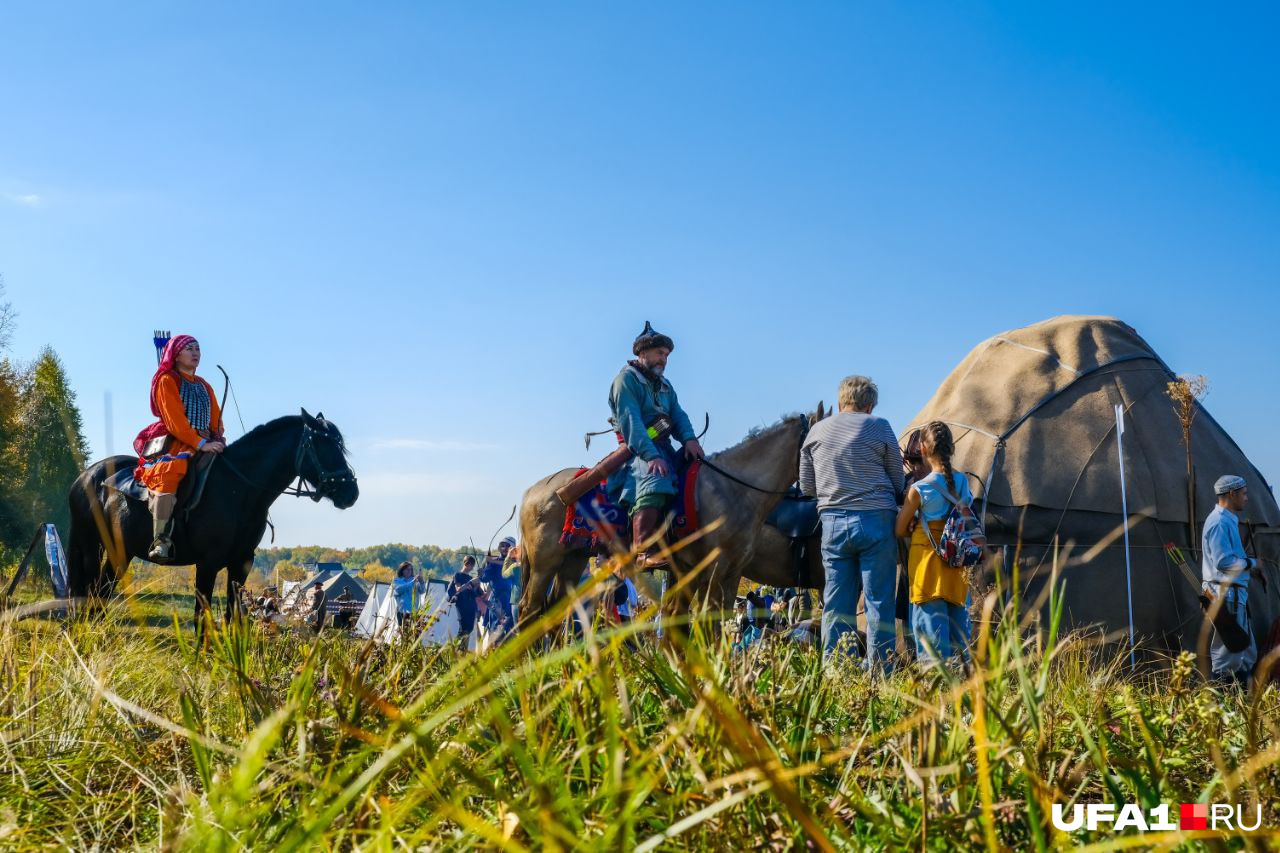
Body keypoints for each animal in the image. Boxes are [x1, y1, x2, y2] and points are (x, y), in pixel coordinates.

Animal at [68, 409, 360, 622]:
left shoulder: (241, 564)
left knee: (101, 591)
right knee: (92, 590)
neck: (238, 488)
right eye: (324, 445)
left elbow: (233, 617)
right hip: (92, 547)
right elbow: (202, 616)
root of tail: (85, 476)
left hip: (120, 552)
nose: (351, 493)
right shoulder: (207, 564)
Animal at [514, 404, 824, 630]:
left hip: (573, 558)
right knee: (529, 610)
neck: (733, 489)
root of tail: (533, 491)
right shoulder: (713, 568)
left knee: (553, 611)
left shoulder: (730, 571)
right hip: (545, 562)